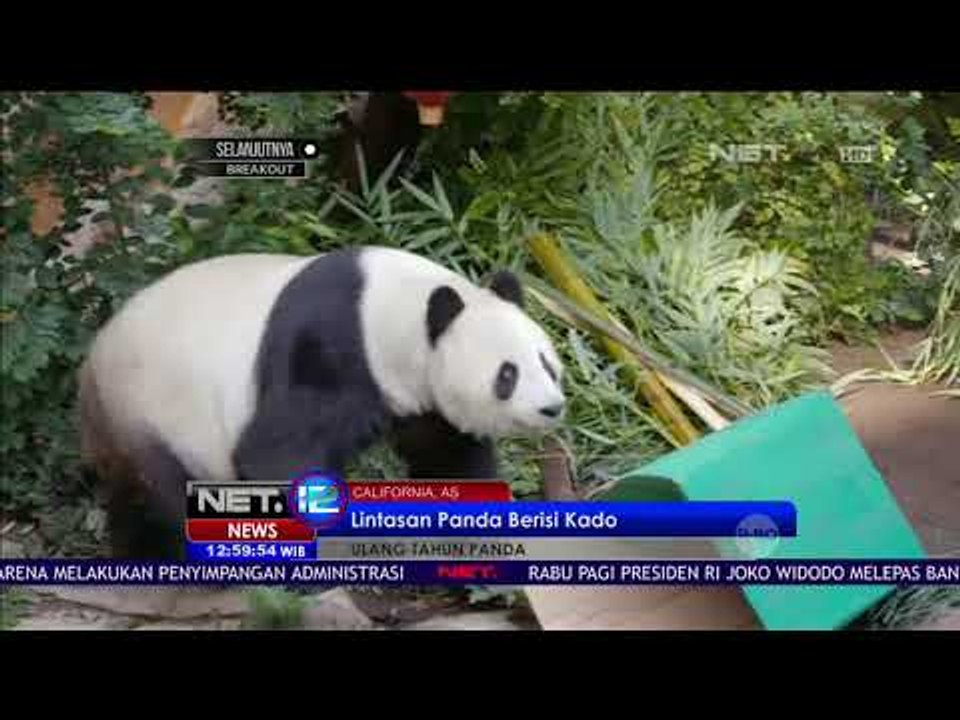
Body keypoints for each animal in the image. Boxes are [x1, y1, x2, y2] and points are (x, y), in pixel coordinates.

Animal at [78, 245, 567, 558]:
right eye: (507, 374)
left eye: (547, 363)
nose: (552, 408)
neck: (390, 307)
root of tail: (91, 363)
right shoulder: (328, 348)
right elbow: (275, 451)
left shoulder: (419, 396)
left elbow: (446, 456)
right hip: (153, 409)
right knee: (167, 488)